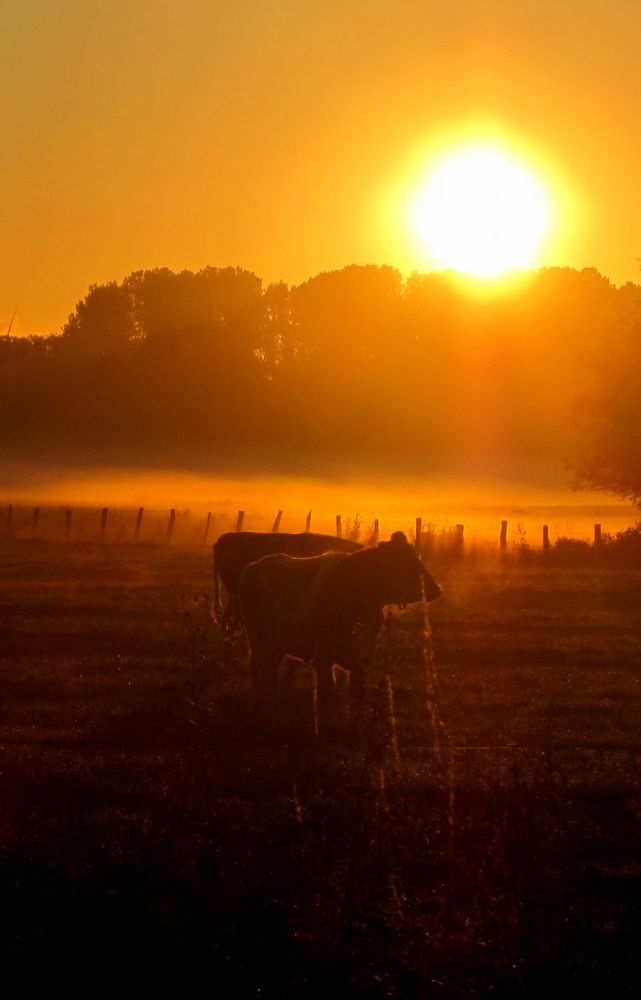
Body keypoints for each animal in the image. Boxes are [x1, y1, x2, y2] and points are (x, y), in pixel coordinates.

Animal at [238, 532, 442, 728]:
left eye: (416, 556)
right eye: (406, 561)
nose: (436, 589)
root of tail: (255, 565)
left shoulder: (365, 654)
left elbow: (357, 692)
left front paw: (353, 727)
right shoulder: (323, 654)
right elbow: (327, 691)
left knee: (259, 671)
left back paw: (257, 710)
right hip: (260, 639)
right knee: (268, 675)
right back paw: (276, 717)